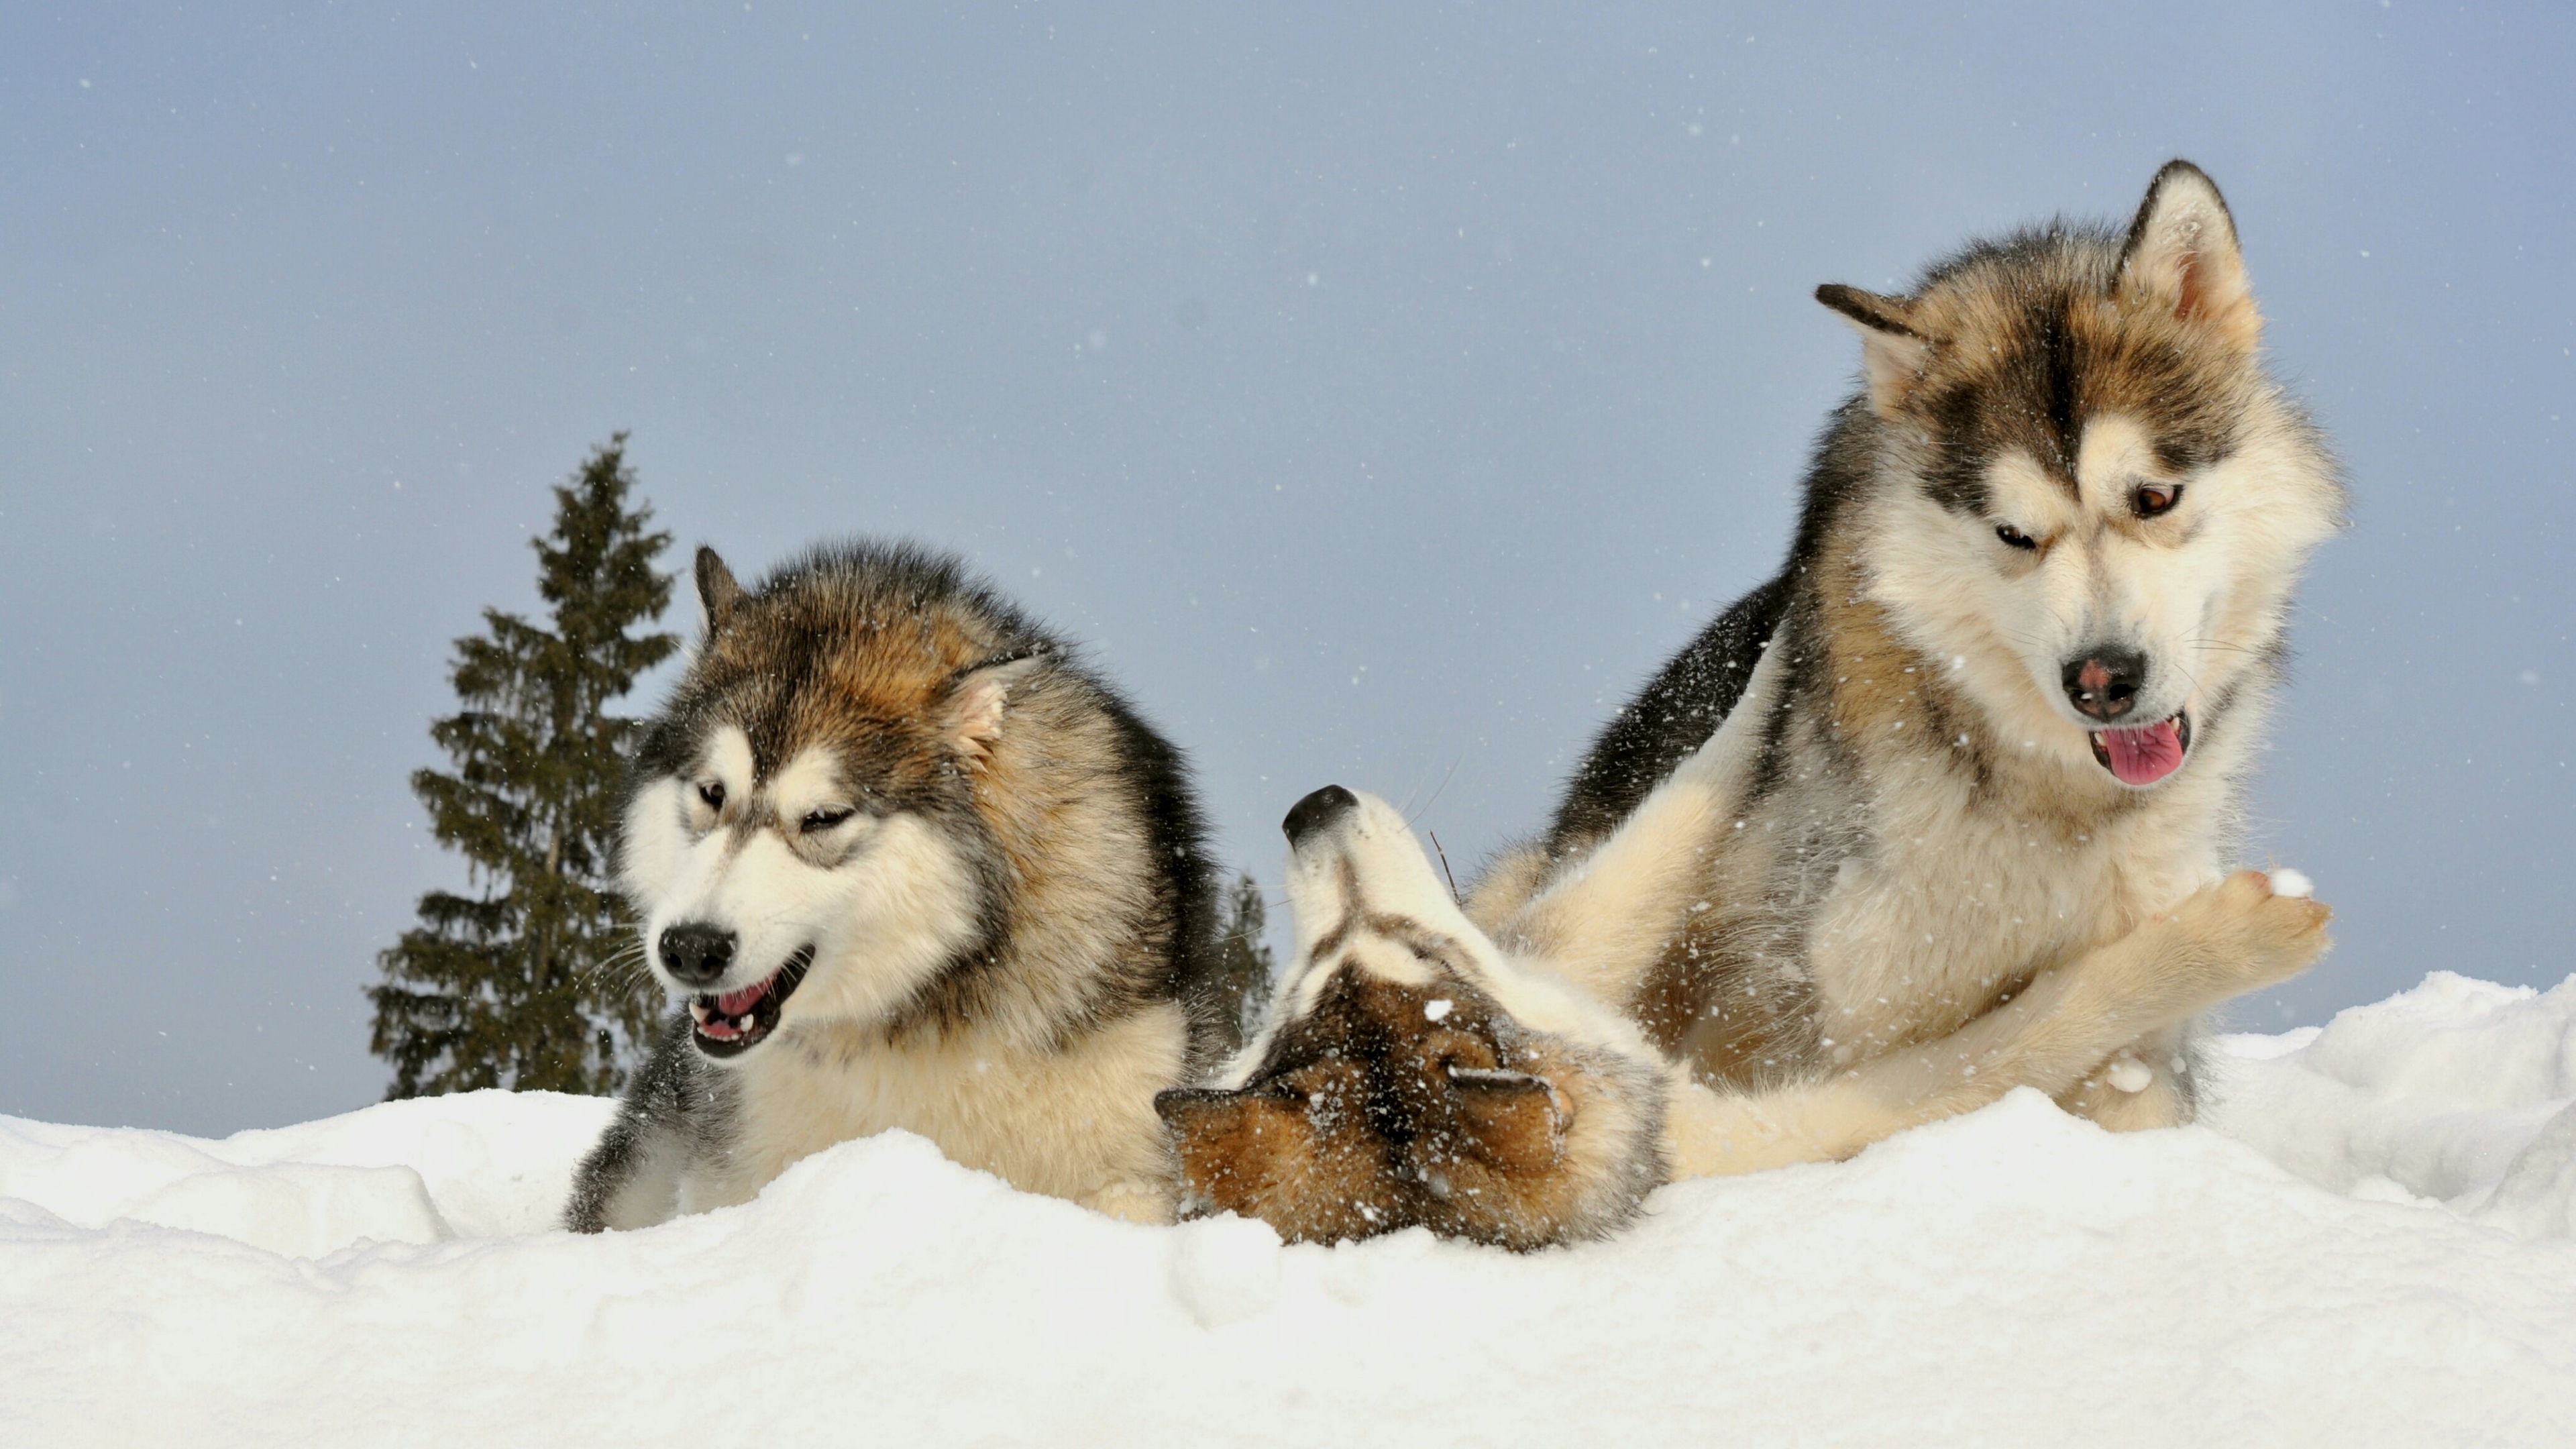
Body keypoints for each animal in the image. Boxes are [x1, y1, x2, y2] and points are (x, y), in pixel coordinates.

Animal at [1159, 763, 2328, 1248]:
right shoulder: (1844, 1112)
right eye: (1421, 944)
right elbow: (2048, 1023)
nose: (1311, 806)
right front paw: (2252, 932)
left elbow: (1678, 807)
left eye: (1306, 975)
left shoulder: (1573, 945)